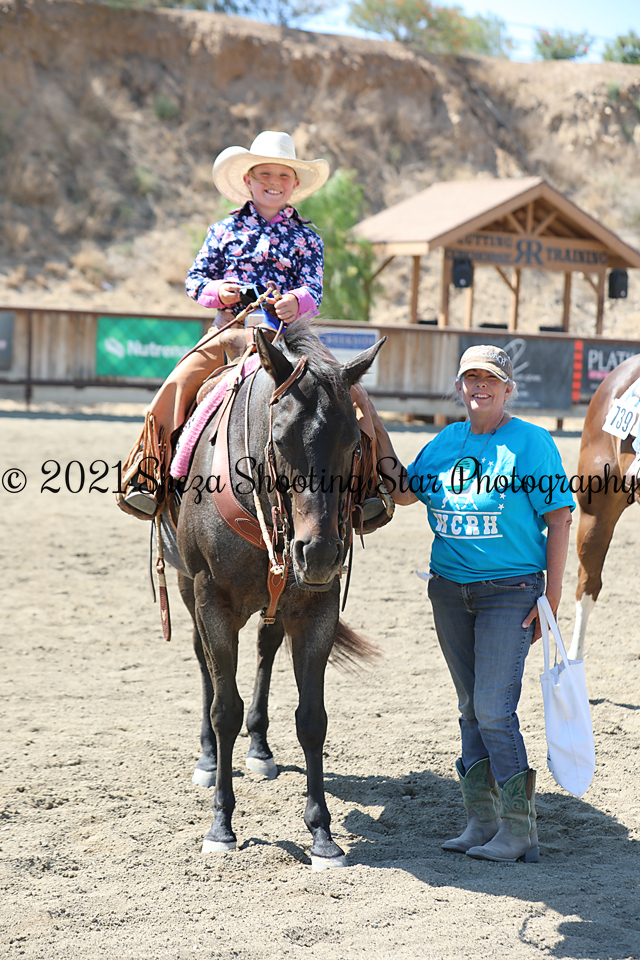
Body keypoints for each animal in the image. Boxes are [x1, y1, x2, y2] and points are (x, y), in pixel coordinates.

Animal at [163, 321, 384, 869]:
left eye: (354, 441)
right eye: (280, 439)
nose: (320, 552)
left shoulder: (316, 606)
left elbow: (312, 718)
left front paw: (322, 833)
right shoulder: (212, 600)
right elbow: (225, 708)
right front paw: (221, 826)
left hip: (277, 601)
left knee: (265, 650)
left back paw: (260, 749)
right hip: (186, 586)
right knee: (203, 664)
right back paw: (207, 758)